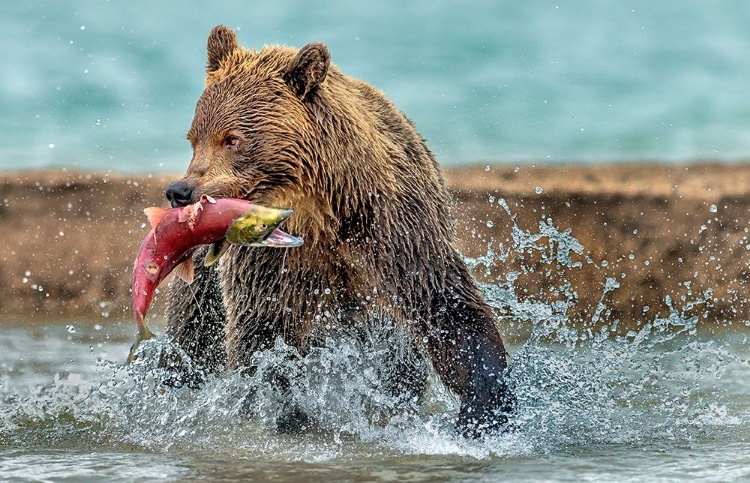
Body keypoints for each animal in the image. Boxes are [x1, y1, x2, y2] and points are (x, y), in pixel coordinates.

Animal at [163, 25, 516, 438]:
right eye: (194, 138)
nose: (180, 191)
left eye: (232, 138)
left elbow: (445, 305)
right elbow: (263, 332)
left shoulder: (393, 230)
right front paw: (280, 408)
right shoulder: (271, 261)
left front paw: (483, 408)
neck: (321, 212)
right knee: (192, 336)